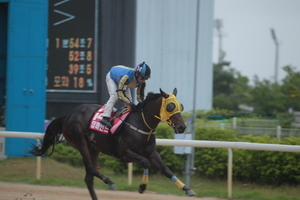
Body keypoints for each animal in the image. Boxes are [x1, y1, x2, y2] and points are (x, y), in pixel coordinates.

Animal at [29, 88, 196, 199]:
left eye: (180, 106)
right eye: (170, 106)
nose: (182, 127)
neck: (141, 125)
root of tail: (68, 115)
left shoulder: (151, 153)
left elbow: (166, 170)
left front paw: (187, 189)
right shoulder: (124, 154)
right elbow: (145, 162)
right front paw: (142, 187)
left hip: (93, 148)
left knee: (89, 178)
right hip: (80, 142)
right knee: (91, 169)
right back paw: (110, 182)